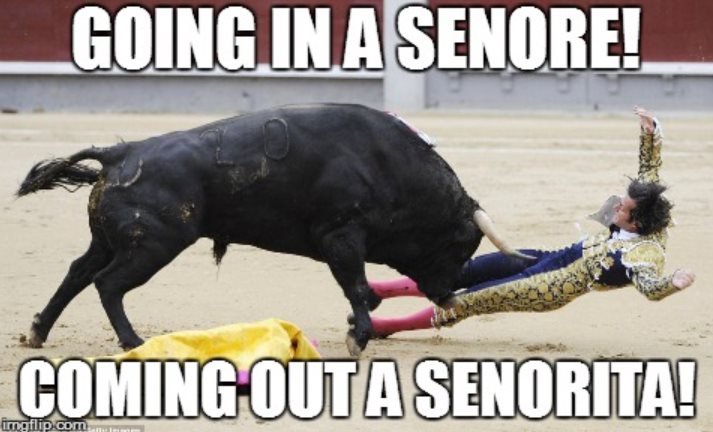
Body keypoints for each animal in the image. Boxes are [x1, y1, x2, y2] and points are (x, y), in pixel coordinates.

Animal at [17, 104, 524, 356]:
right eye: (459, 245)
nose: (448, 296)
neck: (390, 166)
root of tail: (120, 153)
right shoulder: (341, 236)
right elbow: (357, 286)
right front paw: (358, 337)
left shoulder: (342, 242)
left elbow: (361, 289)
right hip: (153, 246)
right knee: (108, 284)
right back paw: (133, 342)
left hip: (109, 241)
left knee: (78, 273)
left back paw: (38, 332)